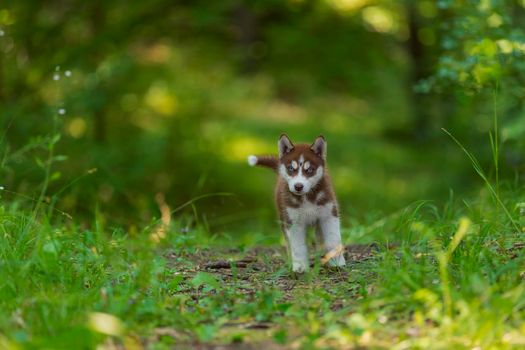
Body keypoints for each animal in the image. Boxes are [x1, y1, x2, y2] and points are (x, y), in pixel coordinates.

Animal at [248, 134, 346, 274]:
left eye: (309, 170)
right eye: (291, 168)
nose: (298, 186)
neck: (306, 198)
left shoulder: (329, 215)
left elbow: (333, 241)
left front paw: (336, 262)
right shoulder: (293, 222)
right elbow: (298, 246)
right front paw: (300, 267)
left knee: (320, 239)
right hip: (283, 219)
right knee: (289, 244)